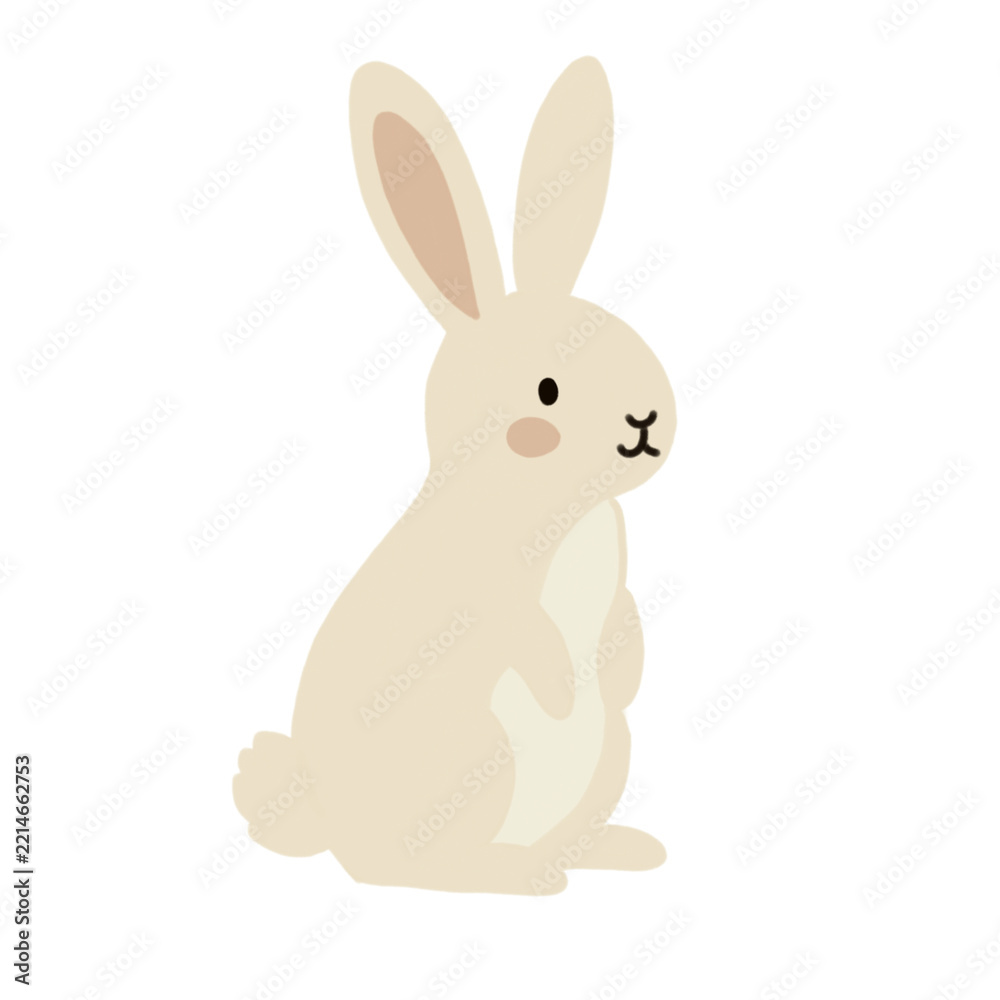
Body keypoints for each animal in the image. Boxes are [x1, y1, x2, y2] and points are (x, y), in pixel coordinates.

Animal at [233, 56, 677, 895]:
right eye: (547, 390)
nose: (646, 422)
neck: (558, 505)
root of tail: (333, 825)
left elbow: (620, 626)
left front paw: (625, 666)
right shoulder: (486, 581)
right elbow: (518, 629)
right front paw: (560, 687)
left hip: (609, 756)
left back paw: (619, 850)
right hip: (481, 757)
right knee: (423, 870)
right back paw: (515, 876)